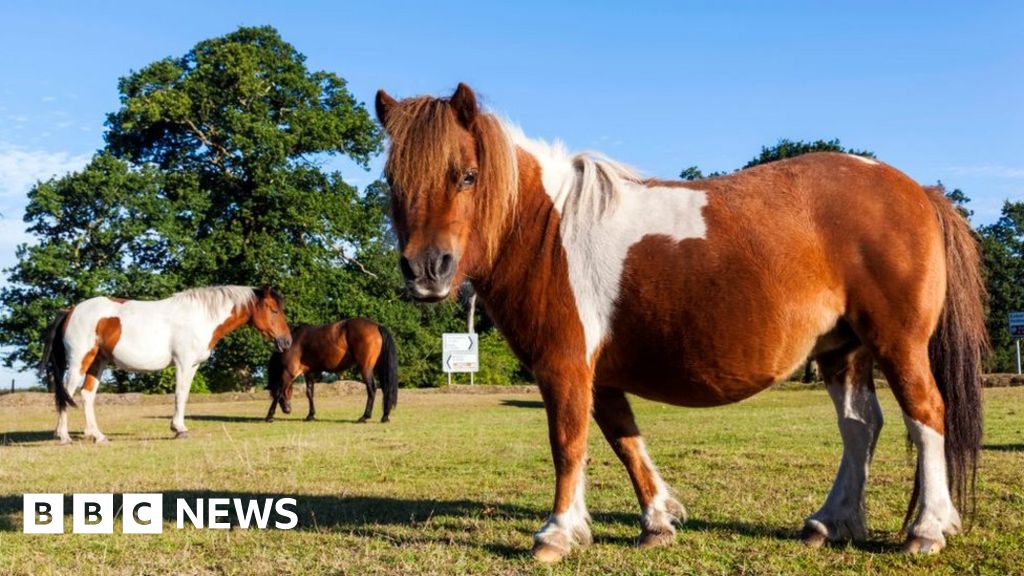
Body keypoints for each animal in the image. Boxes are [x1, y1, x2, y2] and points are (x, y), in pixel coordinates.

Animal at [40, 286, 292, 443]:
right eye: (274, 310)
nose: (286, 341)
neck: (201, 316)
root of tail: (71, 310)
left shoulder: (193, 365)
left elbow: (185, 395)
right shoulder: (184, 363)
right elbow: (180, 394)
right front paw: (179, 429)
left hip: (97, 362)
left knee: (86, 395)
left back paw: (97, 435)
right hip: (79, 361)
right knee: (66, 393)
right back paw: (63, 436)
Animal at [264, 318, 399, 423]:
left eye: (271, 390)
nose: (287, 410)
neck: (294, 342)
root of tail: (377, 326)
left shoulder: (288, 372)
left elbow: (279, 391)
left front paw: (269, 416)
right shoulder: (309, 373)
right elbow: (309, 393)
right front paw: (310, 415)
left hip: (366, 368)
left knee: (371, 389)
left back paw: (364, 417)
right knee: (386, 388)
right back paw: (385, 416)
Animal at [373, 83, 987, 562]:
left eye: (467, 175)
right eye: (392, 182)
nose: (426, 270)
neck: (546, 230)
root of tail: (917, 192)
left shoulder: (564, 366)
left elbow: (568, 444)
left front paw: (558, 533)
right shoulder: (600, 375)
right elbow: (625, 440)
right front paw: (658, 521)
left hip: (898, 344)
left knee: (925, 415)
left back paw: (928, 530)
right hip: (843, 350)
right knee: (861, 427)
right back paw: (828, 521)